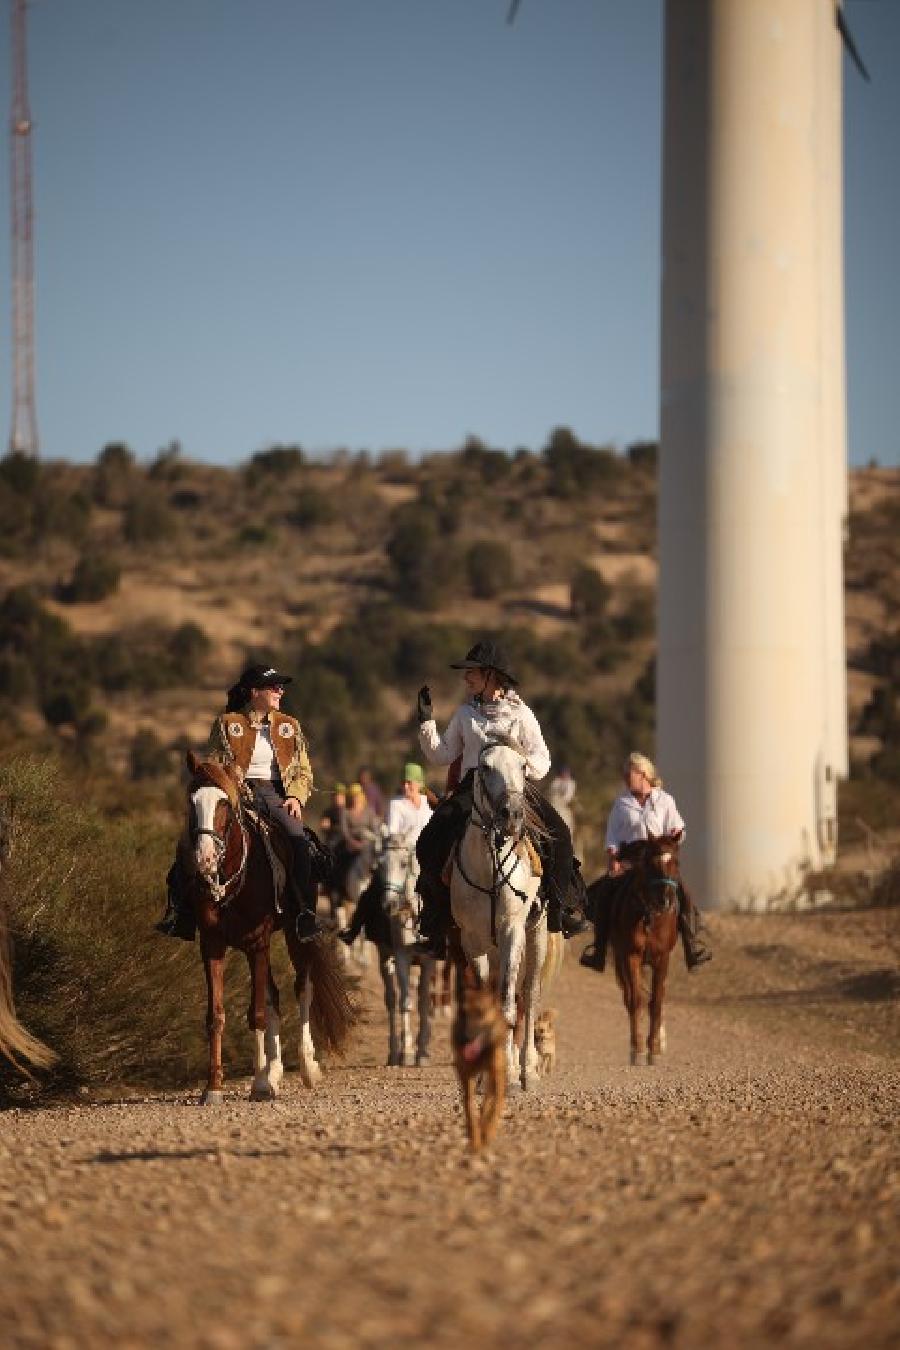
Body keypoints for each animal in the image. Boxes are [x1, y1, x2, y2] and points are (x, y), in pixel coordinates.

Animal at [183, 756, 356, 1101]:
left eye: (224, 803)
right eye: (191, 801)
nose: (204, 859)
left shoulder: (257, 943)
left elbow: (258, 1013)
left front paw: (260, 1084)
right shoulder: (212, 945)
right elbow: (217, 1016)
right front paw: (214, 1087)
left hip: (294, 935)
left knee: (302, 988)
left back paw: (306, 1068)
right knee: (274, 995)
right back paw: (273, 1070)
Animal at [377, 831, 437, 1063]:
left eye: (404, 864)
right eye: (379, 864)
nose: (388, 906)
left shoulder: (429, 959)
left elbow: (423, 1001)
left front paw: (422, 1052)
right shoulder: (402, 955)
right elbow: (405, 1002)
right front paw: (407, 1053)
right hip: (384, 958)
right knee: (391, 999)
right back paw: (394, 1052)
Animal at [447, 745, 555, 1090]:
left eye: (523, 766)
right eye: (484, 767)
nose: (512, 815)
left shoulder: (512, 932)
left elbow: (509, 1004)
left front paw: (507, 1073)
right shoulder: (472, 941)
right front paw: (485, 1076)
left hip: (537, 934)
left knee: (529, 996)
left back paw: (527, 1069)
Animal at [450, 977, 507, 1155]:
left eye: (481, 1012)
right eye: (463, 1012)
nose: (465, 1039)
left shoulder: (497, 1076)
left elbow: (495, 1106)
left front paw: (488, 1132)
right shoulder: (465, 1075)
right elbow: (469, 1108)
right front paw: (474, 1140)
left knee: (490, 1099)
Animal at [601, 831, 680, 1063]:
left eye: (676, 862)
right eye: (651, 863)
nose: (665, 901)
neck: (649, 916)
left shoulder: (662, 958)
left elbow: (656, 1002)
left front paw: (654, 1048)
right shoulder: (631, 956)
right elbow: (636, 1000)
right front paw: (638, 1049)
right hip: (620, 960)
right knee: (629, 997)